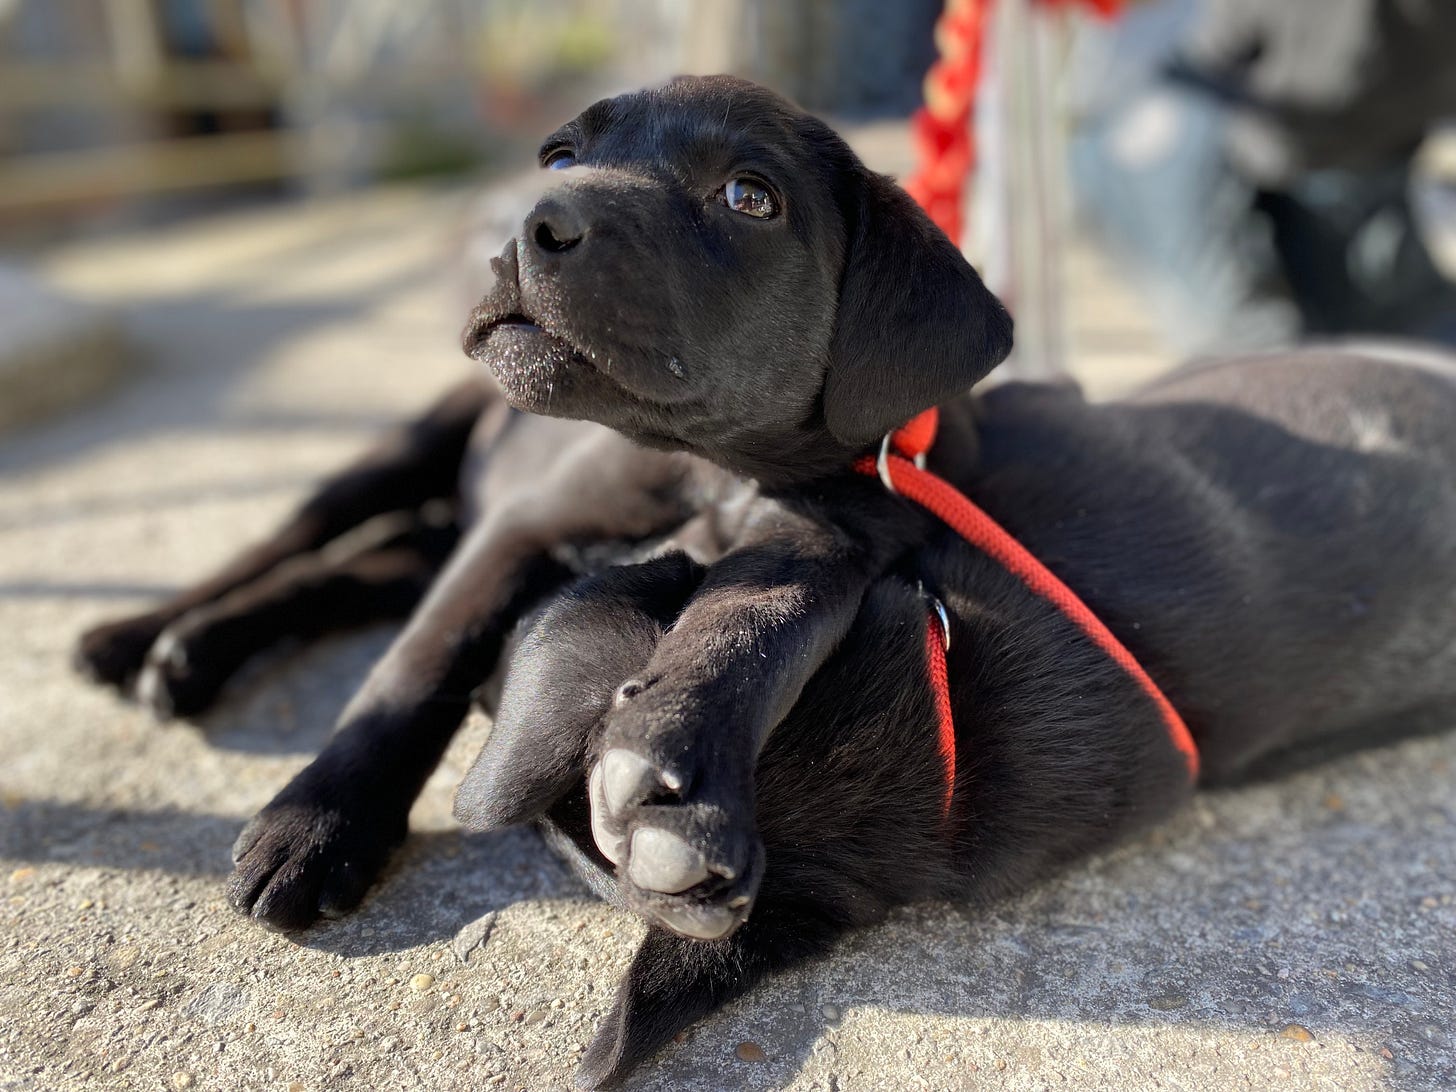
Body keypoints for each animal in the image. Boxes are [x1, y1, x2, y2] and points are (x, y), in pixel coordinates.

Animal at [73, 74, 1456, 1089]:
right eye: (561, 154)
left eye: (751, 198)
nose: (522, 226)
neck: (707, 468)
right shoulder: (526, 524)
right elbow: (412, 673)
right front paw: (317, 826)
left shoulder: (841, 530)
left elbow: (762, 612)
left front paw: (678, 756)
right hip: (419, 441)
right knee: (302, 539)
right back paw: (144, 640)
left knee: (359, 569)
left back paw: (189, 654)